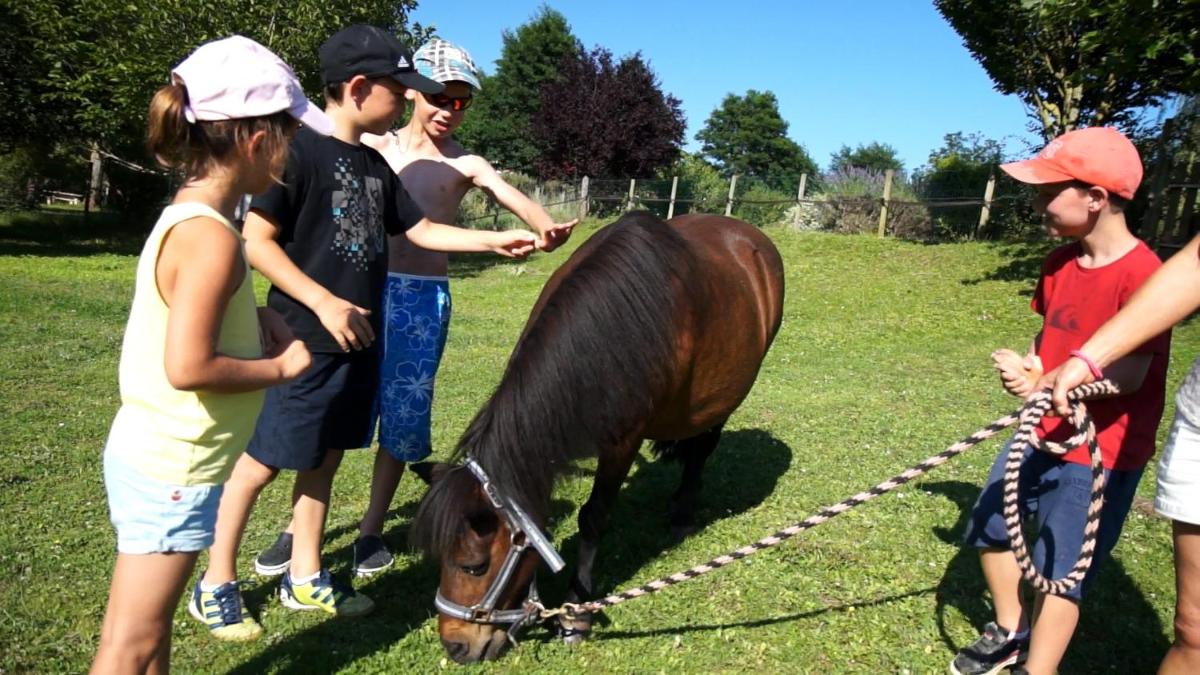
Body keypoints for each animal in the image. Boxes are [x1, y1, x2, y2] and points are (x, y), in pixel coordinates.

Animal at [412, 211, 787, 662]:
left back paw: (683, 513)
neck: (616, 328)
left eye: (474, 566)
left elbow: (593, 517)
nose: (455, 645)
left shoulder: (622, 441)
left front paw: (576, 611)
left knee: (701, 450)